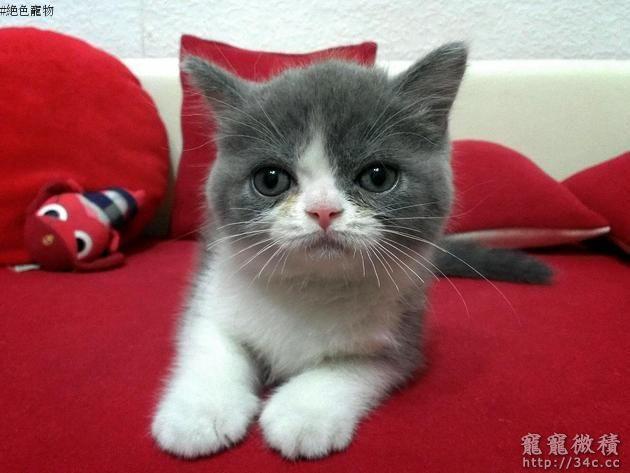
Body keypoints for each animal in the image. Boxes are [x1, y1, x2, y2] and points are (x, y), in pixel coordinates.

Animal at [151, 42, 551, 460]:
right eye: (270, 179)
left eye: (378, 176)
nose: (323, 210)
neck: (310, 288)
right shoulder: (215, 283)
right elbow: (211, 341)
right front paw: (199, 413)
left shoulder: (402, 331)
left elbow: (351, 366)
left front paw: (303, 414)